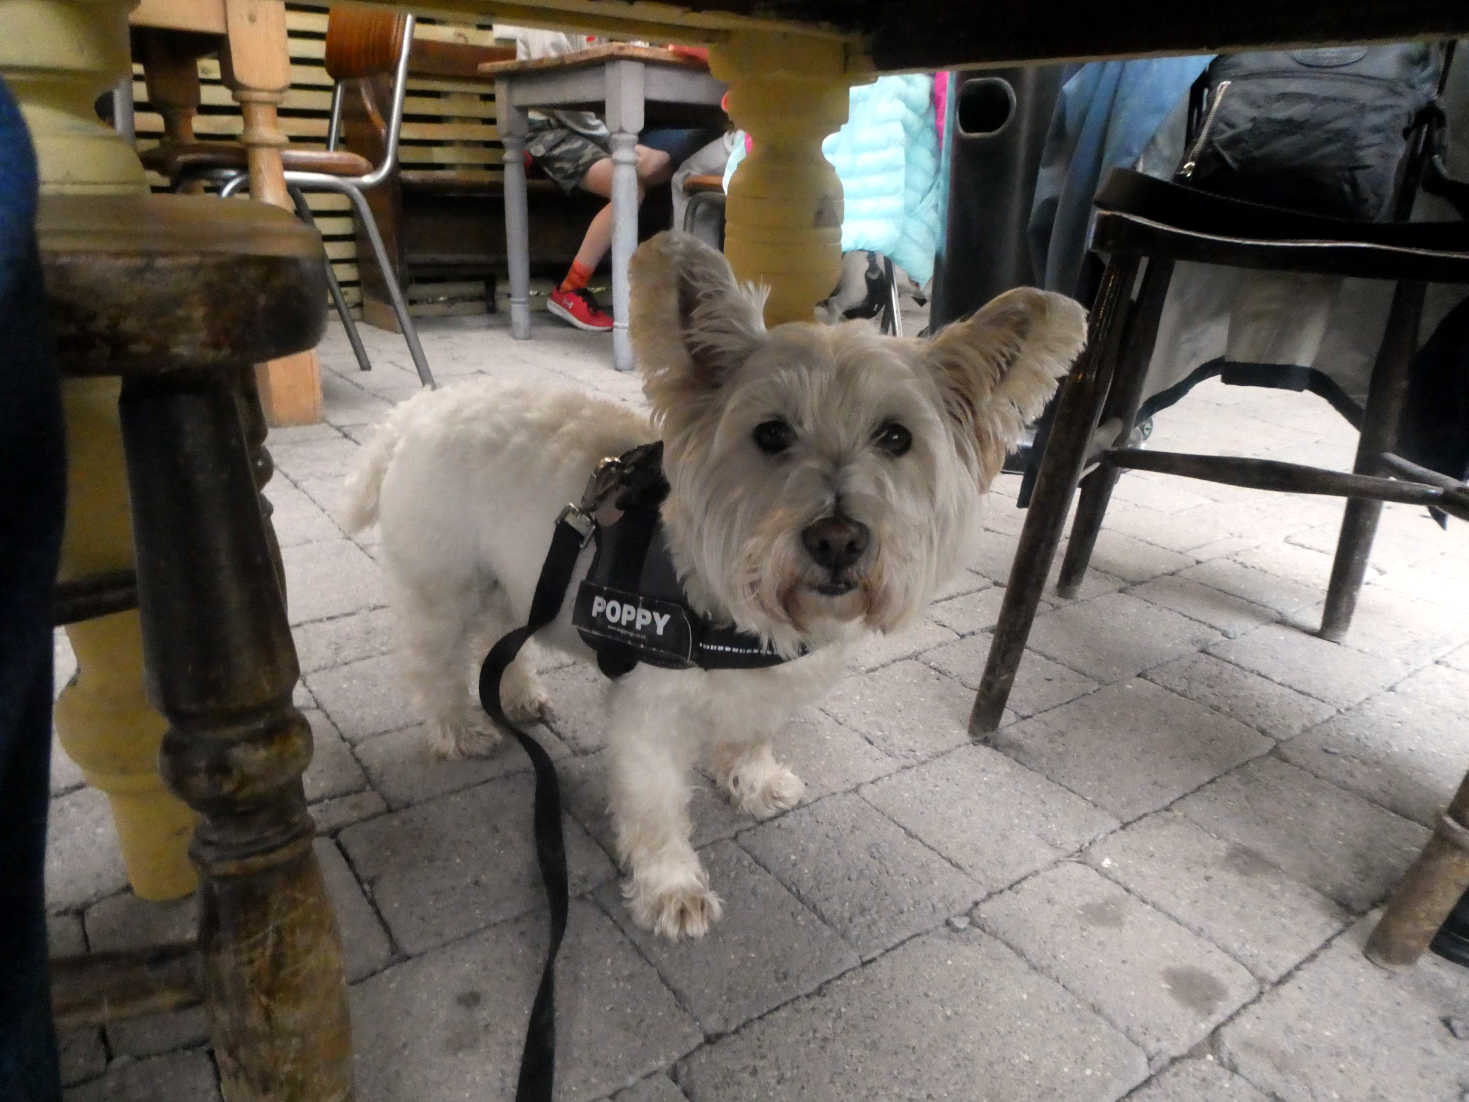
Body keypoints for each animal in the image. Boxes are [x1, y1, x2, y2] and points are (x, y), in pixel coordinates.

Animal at [337, 230, 1087, 940]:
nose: (837, 540)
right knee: (435, 665)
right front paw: (670, 887)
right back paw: (458, 729)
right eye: (771, 433)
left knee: (503, 637)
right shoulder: (649, 710)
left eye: (896, 437)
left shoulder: (768, 685)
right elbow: (655, 804)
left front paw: (751, 780)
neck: (737, 602)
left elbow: (751, 734)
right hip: (442, 590)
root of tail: (419, 410)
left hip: (514, 577)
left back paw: (517, 695)